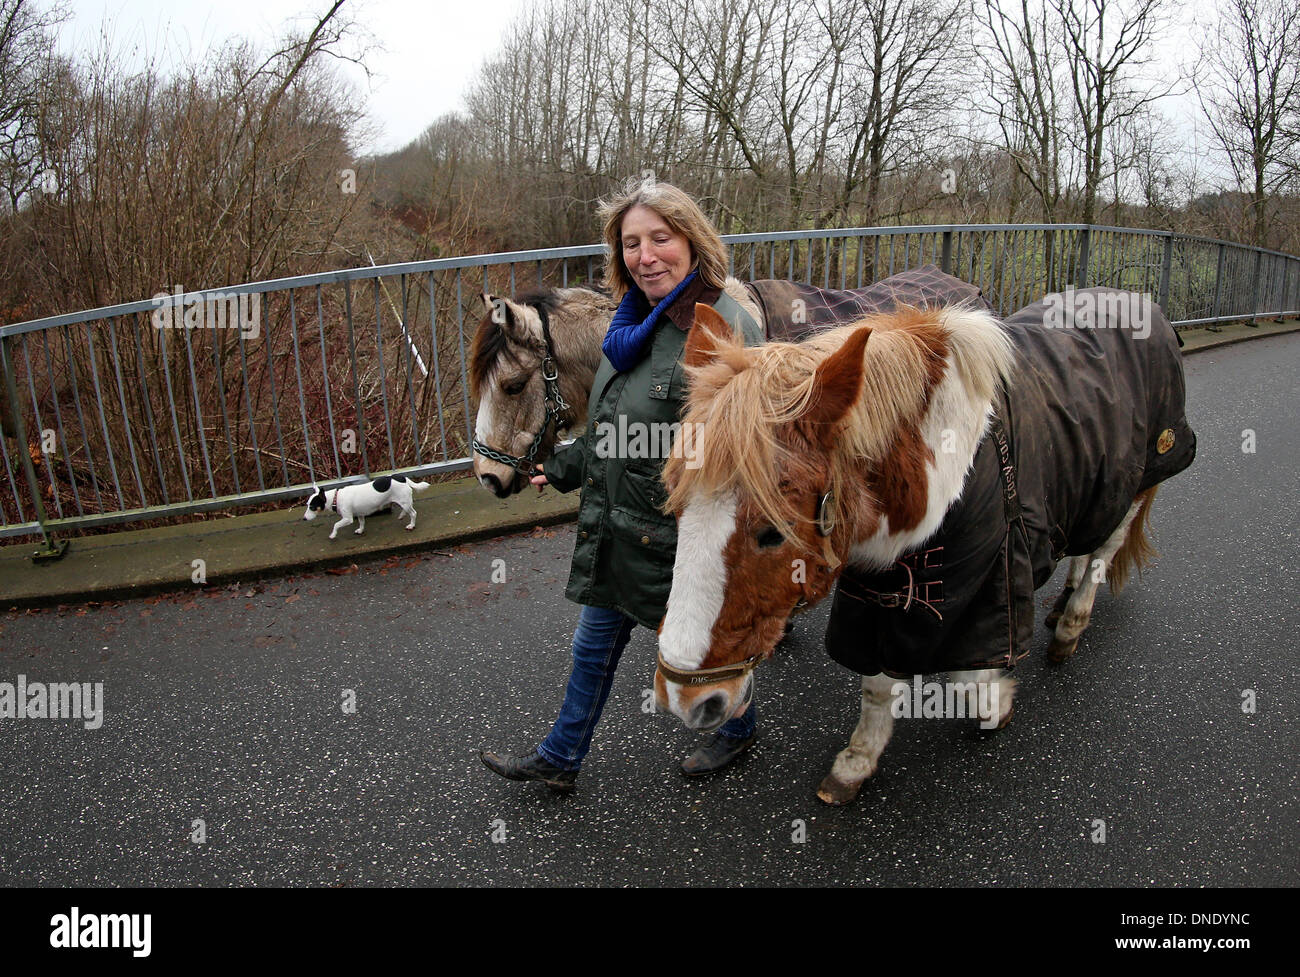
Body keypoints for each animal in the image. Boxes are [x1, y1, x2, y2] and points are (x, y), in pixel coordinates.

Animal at [655, 290, 1196, 805]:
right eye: (678, 509)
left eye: (770, 531)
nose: (686, 699)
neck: (937, 467)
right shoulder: (877, 596)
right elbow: (877, 684)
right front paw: (857, 762)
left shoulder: (989, 584)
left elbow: (971, 683)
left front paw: (998, 705)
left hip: (1141, 478)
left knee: (1106, 551)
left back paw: (1071, 623)